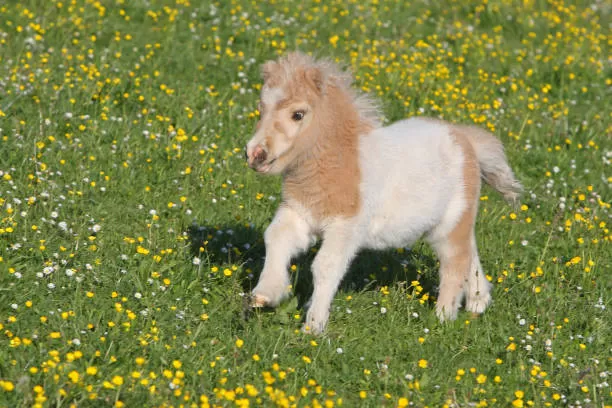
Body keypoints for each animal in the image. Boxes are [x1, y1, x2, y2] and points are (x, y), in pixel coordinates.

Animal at [244, 52, 520, 334]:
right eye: (261, 108)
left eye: (298, 114)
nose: (255, 154)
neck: (339, 163)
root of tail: (464, 139)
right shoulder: (298, 213)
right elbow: (276, 237)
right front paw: (264, 295)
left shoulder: (346, 227)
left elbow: (326, 266)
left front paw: (314, 326)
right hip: (454, 222)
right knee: (470, 251)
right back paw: (478, 301)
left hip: (450, 223)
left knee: (455, 260)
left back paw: (443, 318)